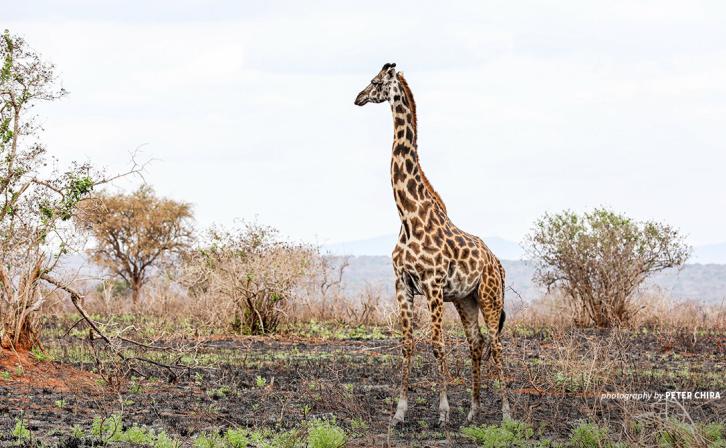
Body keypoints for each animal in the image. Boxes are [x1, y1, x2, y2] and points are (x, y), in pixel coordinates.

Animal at [354, 62, 512, 424]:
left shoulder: (434, 284)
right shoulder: (403, 284)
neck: (408, 216)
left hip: (489, 295)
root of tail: (497, 263)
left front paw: (442, 412)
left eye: (375, 81)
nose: (358, 98)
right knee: (476, 342)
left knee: (496, 343)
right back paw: (473, 411)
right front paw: (399, 412)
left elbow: (437, 344)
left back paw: (507, 414)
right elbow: (408, 343)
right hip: (466, 299)